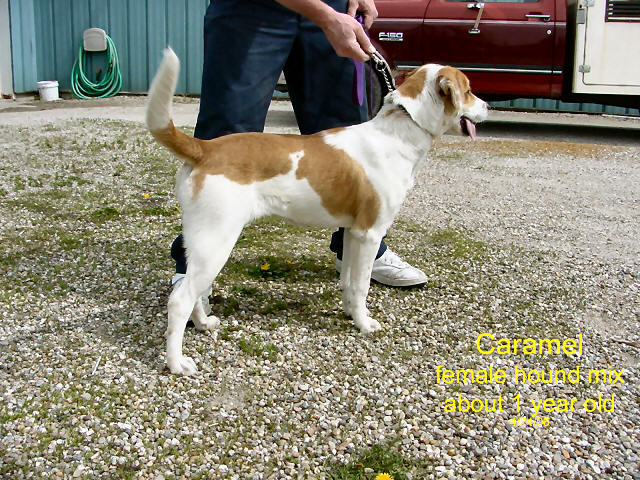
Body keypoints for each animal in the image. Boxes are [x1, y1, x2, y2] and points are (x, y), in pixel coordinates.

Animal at [146, 48, 488, 375]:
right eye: (469, 90)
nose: (487, 107)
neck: (397, 132)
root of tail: (206, 148)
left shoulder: (352, 233)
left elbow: (348, 282)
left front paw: (352, 314)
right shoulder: (370, 233)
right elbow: (361, 285)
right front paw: (365, 324)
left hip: (202, 244)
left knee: (191, 291)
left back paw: (204, 323)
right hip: (216, 241)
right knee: (180, 300)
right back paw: (177, 363)